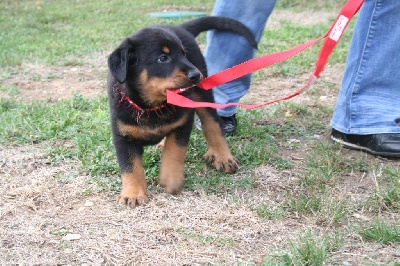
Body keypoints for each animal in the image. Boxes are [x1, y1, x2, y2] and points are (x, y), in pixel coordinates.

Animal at [107, 16, 256, 207]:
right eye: (163, 58)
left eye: (184, 54)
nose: (196, 74)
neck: (152, 107)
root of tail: (179, 27)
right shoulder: (123, 135)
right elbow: (130, 166)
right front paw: (132, 193)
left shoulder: (184, 122)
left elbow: (174, 151)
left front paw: (171, 178)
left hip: (202, 96)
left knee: (213, 125)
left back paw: (223, 156)